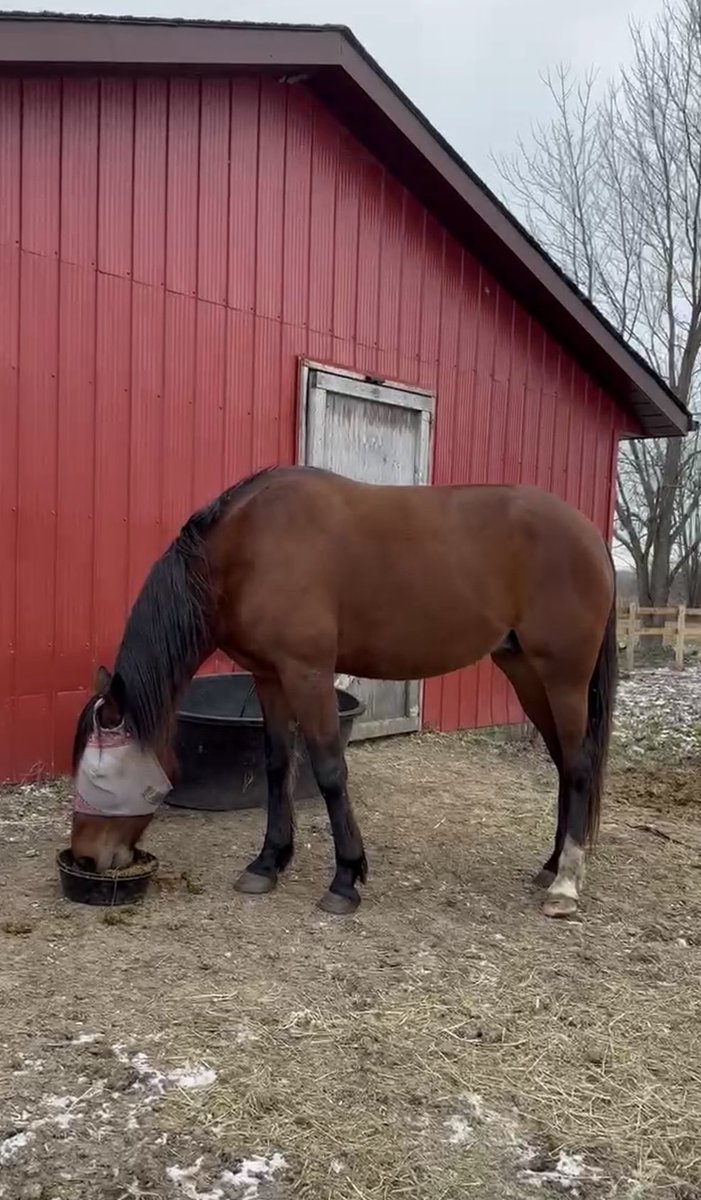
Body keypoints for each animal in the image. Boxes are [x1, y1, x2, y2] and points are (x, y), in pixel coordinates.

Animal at [71, 465, 617, 919]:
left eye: (97, 778)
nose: (85, 857)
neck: (251, 546)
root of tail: (589, 535)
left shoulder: (308, 674)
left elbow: (330, 770)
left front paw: (345, 879)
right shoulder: (269, 677)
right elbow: (276, 766)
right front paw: (267, 863)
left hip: (563, 677)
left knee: (579, 764)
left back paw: (565, 885)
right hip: (526, 673)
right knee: (564, 765)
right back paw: (552, 866)